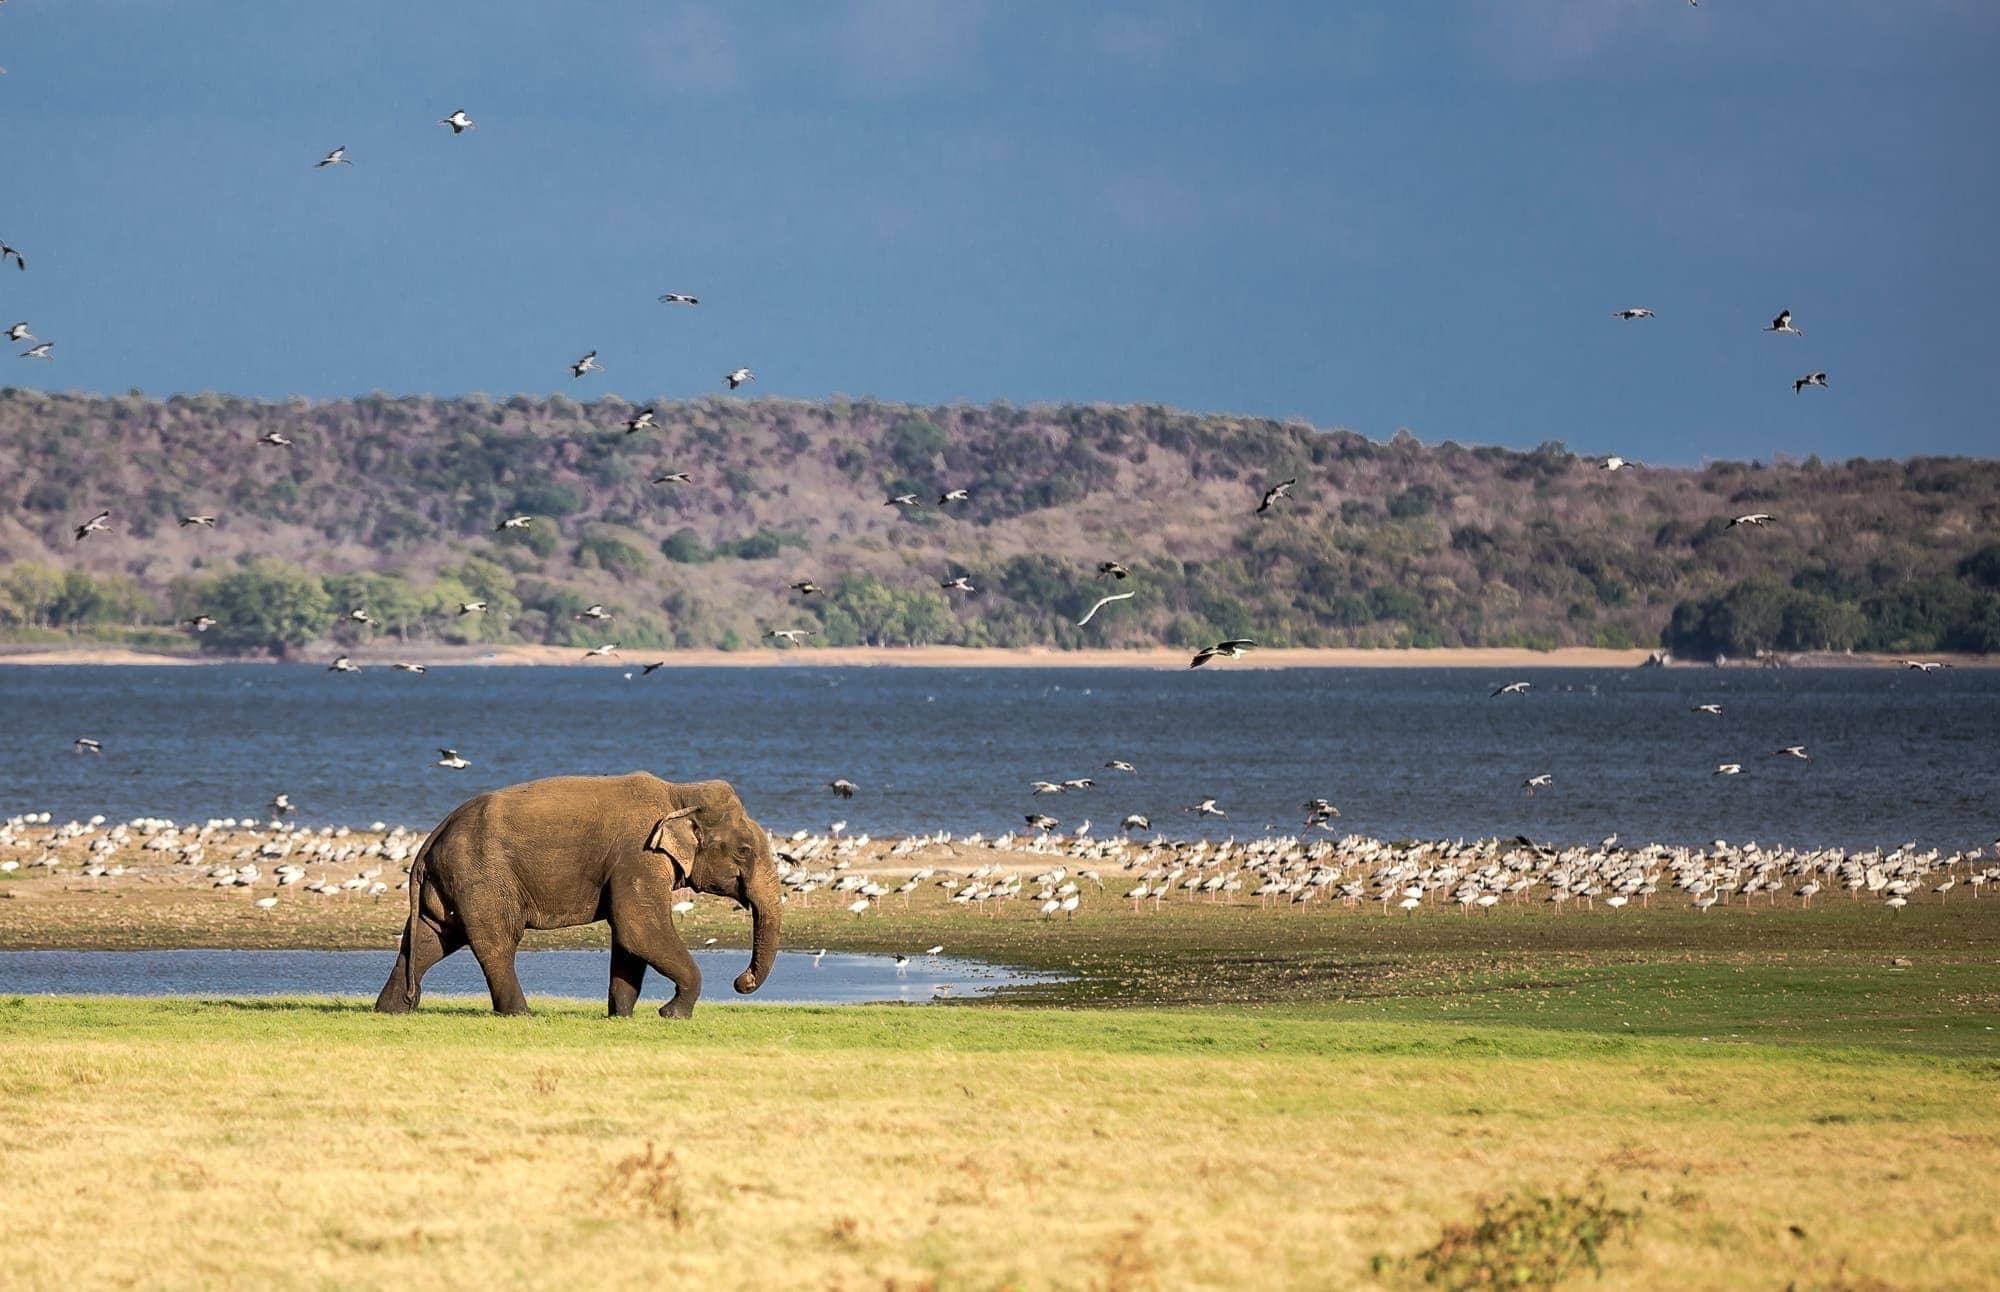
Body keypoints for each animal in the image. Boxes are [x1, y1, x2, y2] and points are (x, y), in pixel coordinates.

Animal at [376, 780, 780, 1024]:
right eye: (744, 851)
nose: (741, 981)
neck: (678, 793)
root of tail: (431, 839)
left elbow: (630, 942)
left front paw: (621, 1017)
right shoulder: (638, 856)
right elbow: (639, 930)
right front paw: (672, 1015)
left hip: (450, 885)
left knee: (428, 941)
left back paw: (392, 1010)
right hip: (482, 878)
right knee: (496, 942)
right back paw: (521, 1015)